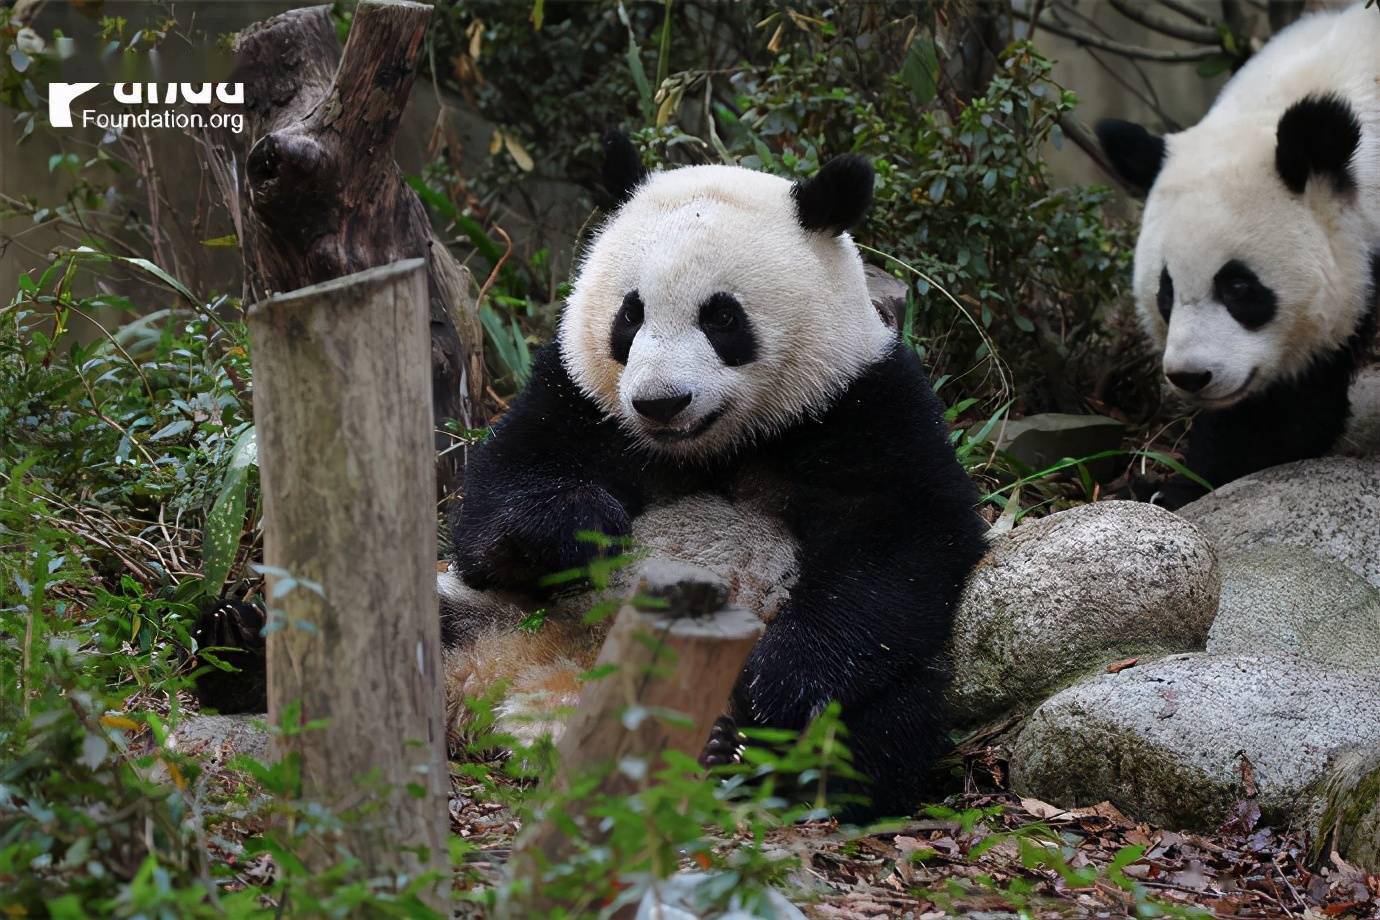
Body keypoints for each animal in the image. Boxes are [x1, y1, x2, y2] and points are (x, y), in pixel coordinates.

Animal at [447, 133, 999, 816]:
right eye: (630, 315)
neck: (712, 446)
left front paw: (777, 679)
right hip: (487, 612)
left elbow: (905, 540)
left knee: (885, 718)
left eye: (723, 318)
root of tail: (537, 684)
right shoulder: (577, 398)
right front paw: (577, 525)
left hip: (885, 681)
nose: (659, 402)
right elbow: (492, 505)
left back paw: (741, 750)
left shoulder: (863, 402)